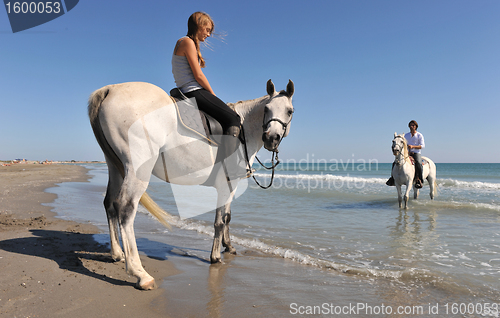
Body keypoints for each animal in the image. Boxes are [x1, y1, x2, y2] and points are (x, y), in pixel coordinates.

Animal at [88, 79, 294, 288]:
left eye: (289, 111)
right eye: (267, 109)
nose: (271, 138)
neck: (245, 129)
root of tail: (111, 89)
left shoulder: (231, 185)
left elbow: (227, 217)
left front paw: (229, 246)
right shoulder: (227, 184)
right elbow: (220, 221)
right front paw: (215, 257)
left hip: (115, 165)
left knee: (109, 203)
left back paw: (117, 253)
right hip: (137, 169)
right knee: (125, 208)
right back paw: (140, 273)